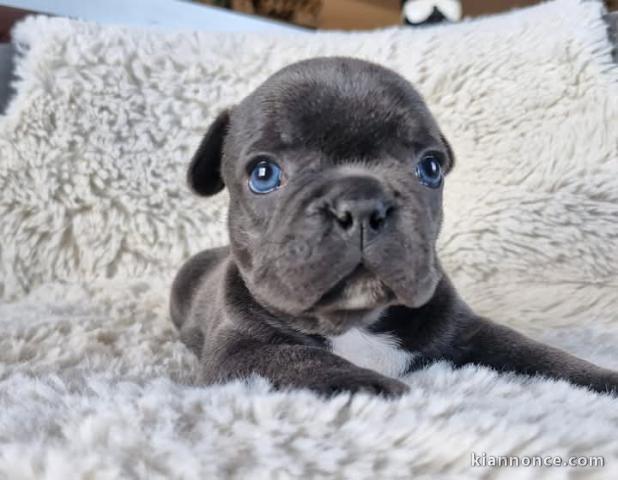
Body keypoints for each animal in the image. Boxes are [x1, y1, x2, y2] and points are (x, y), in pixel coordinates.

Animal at [170, 56, 616, 396]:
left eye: (430, 168)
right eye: (264, 175)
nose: (361, 202)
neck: (357, 323)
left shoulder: (469, 331)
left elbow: (536, 353)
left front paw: (600, 378)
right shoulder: (241, 353)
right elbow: (308, 363)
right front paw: (390, 392)